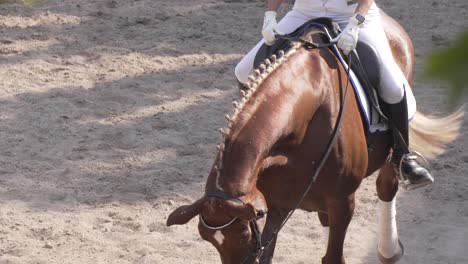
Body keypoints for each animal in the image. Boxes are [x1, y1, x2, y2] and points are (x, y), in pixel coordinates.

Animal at [166, 10, 462, 264]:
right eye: (208, 239)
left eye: (243, 234)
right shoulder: (276, 202)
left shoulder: (342, 201)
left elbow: (333, 256)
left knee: (387, 184)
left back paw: (388, 248)